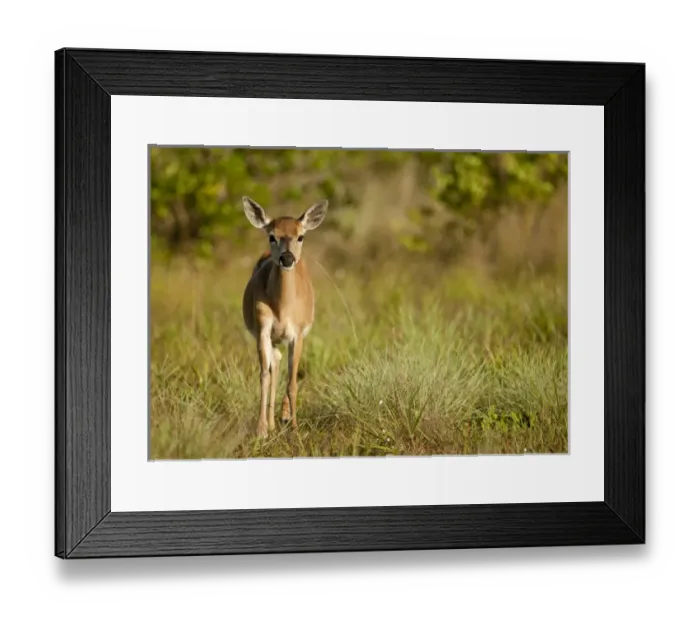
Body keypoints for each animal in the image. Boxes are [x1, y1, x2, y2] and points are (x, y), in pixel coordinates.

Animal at [241, 196, 329, 438]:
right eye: (272, 235)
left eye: (301, 236)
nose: (287, 258)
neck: (283, 308)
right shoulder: (263, 329)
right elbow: (264, 376)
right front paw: (261, 430)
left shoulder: (297, 335)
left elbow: (292, 383)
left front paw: (296, 429)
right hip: (272, 339)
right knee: (274, 365)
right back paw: (272, 424)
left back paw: (284, 417)